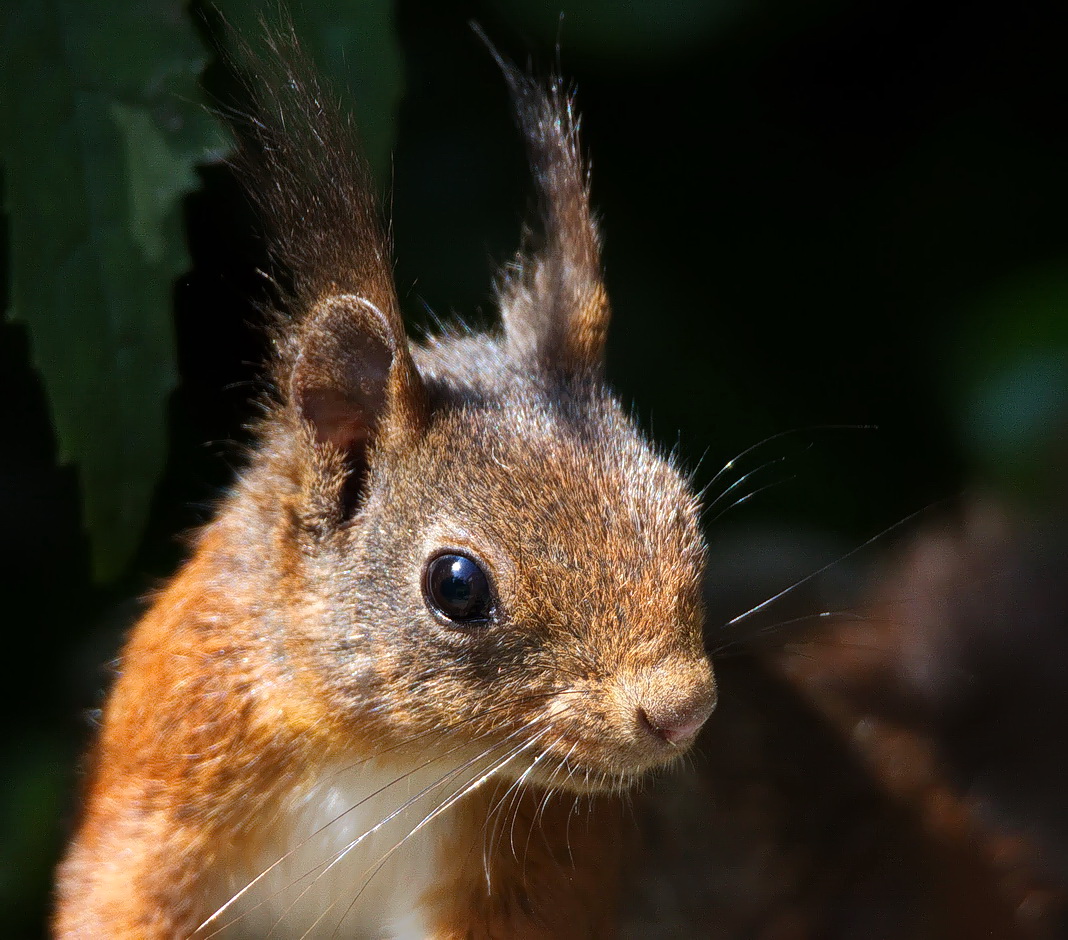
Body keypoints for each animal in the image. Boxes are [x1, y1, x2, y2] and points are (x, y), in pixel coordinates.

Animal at [50, 23, 717, 940]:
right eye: (457, 585)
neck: (393, 761)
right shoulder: (158, 793)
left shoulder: (538, 879)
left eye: (685, 515)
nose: (681, 709)